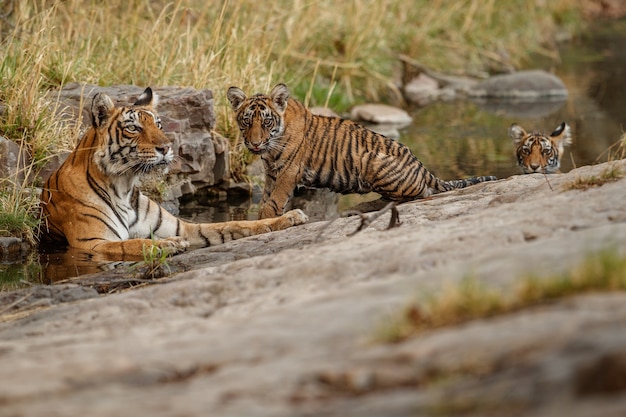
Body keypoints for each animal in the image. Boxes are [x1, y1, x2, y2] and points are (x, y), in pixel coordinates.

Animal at [37, 87, 306, 256]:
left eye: (158, 124)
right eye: (133, 128)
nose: (166, 147)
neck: (123, 184)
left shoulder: (184, 227)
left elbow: (233, 225)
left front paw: (289, 218)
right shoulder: (93, 243)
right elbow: (131, 244)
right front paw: (167, 245)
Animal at [227, 81, 494, 218]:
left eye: (266, 122)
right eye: (247, 121)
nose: (255, 143)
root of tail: (422, 167)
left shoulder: (288, 172)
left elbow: (273, 203)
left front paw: (263, 224)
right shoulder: (272, 173)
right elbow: (266, 200)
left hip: (372, 161)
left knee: (414, 196)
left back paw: (357, 208)